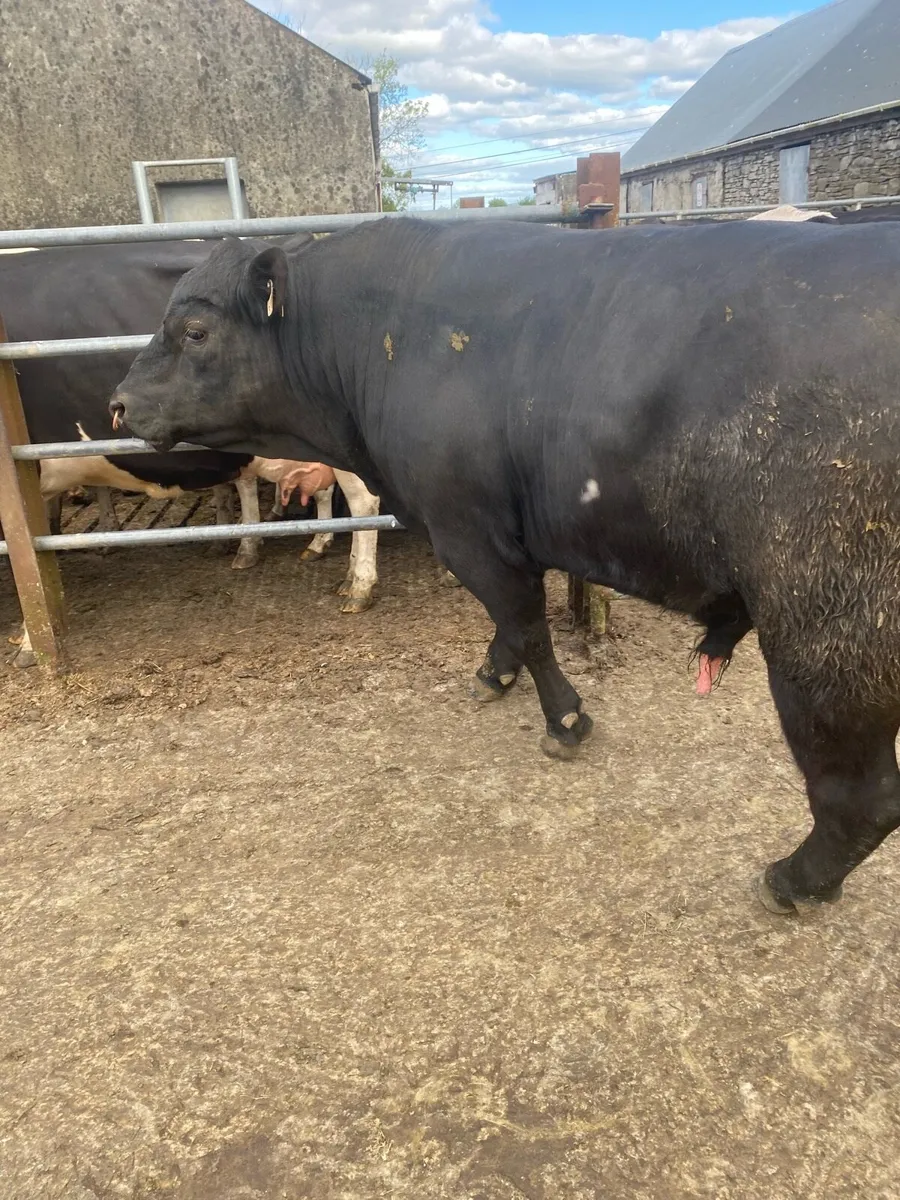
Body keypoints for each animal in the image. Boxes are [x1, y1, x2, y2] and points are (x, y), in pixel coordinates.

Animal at [110, 215, 900, 916]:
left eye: (195, 331)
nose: (118, 404)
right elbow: (511, 622)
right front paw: (497, 674)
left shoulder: (467, 527)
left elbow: (525, 622)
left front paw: (566, 720)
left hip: (826, 634)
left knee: (862, 796)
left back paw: (794, 882)